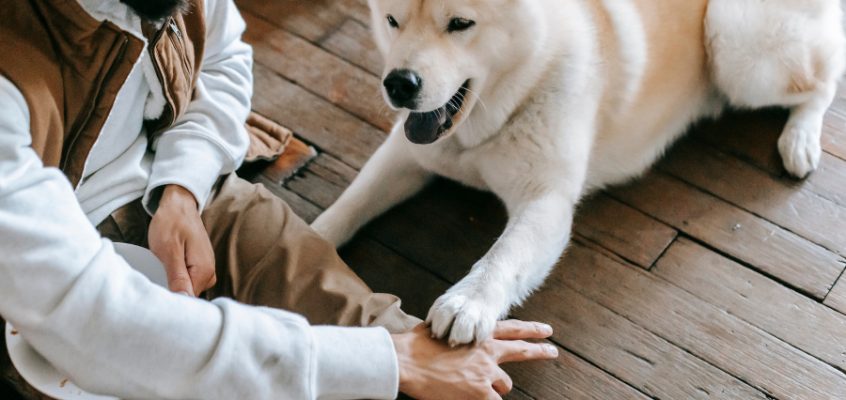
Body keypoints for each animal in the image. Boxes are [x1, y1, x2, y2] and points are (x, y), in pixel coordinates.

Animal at [314, 0, 846, 344]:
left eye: (461, 24)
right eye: (393, 22)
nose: (398, 84)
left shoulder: (545, 201)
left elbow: (503, 257)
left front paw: (468, 303)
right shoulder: (406, 153)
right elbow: (349, 204)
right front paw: (310, 239)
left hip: (736, 46)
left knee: (825, 78)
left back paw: (799, 139)